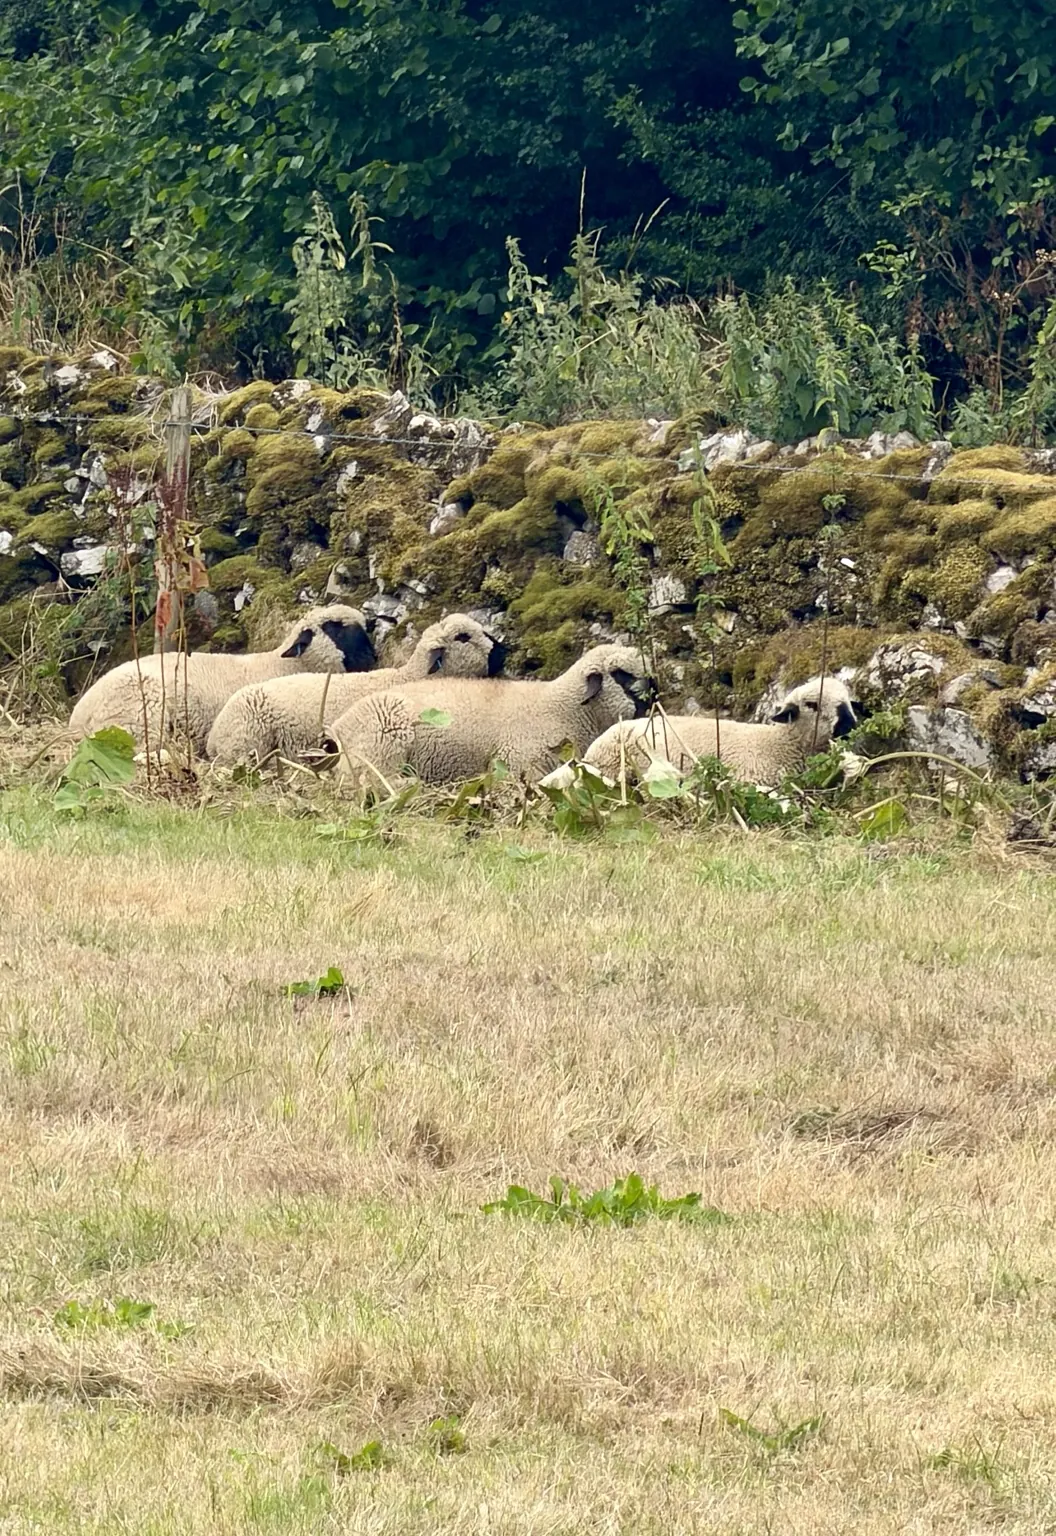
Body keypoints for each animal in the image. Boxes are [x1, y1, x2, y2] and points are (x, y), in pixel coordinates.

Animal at [330, 643, 657, 787]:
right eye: (621, 673)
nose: (653, 693)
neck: (562, 708)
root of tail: (341, 725)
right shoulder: (518, 766)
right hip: (383, 743)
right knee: (369, 780)